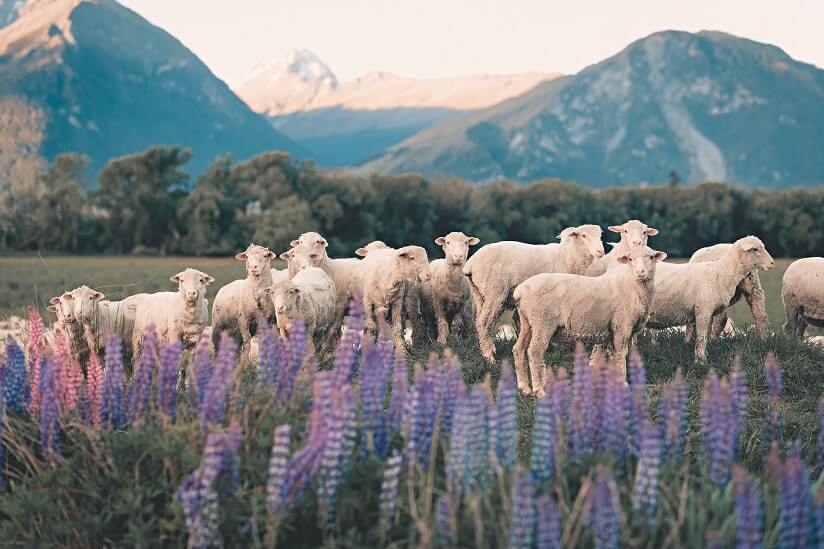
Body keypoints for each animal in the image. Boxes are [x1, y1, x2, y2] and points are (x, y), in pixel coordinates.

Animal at [464, 225, 604, 362]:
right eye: (583, 235)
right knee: (483, 322)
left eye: (600, 235)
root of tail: (471, 263)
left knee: (480, 321)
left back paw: (487, 349)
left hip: (480, 293)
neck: (568, 257)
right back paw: (489, 357)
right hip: (495, 291)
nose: (601, 251)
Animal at [512, 245, 668, 394]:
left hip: (527, 322)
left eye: (651, 257)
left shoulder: (622, 329)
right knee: (534, 351)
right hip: (542, 321)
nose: (640, 272)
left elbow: (621, 355)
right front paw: (623, 384)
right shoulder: (622, 325)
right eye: (630, 259)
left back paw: (524, 388)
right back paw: (538, 390)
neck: (633, 286)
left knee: (518, 349)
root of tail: (520, 291)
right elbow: (621, 354)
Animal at [648, 234, 776, 360]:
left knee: (759, 316)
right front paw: (699, 356)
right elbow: (700, 334)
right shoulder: (701, 308)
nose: (772, 263)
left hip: (753, 289)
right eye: (755, 249)